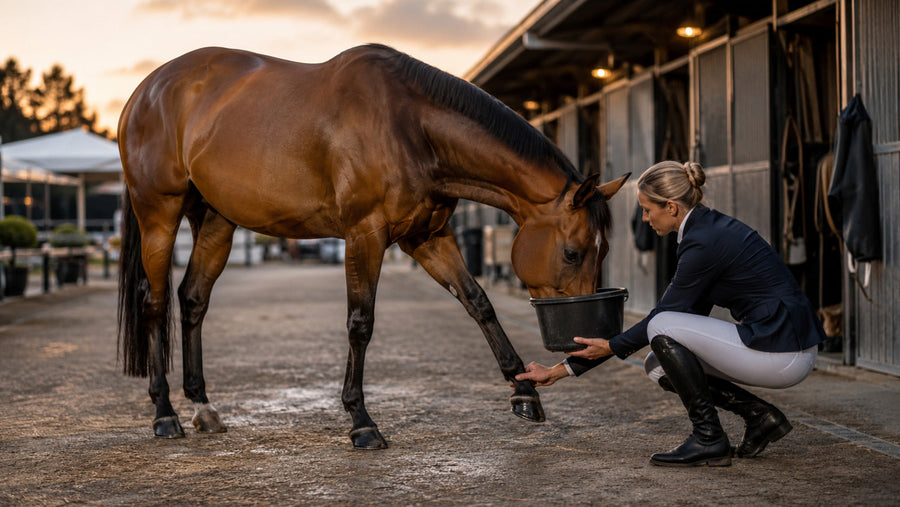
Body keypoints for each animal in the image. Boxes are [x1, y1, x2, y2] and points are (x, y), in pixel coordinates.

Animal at [117, 44, 629, 449]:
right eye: (572, 253)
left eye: (604, 252)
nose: (579, 343)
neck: (409, 125)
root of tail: (145, 91)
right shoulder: (366, 235)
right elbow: (360, 322)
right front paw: (361, 421)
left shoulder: (426, 237)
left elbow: (478, 302)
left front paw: (524, 390)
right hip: (159, 214)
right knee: (154, 303)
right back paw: (165, 414)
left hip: (216, 222)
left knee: (192, 299)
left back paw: (203, 407)